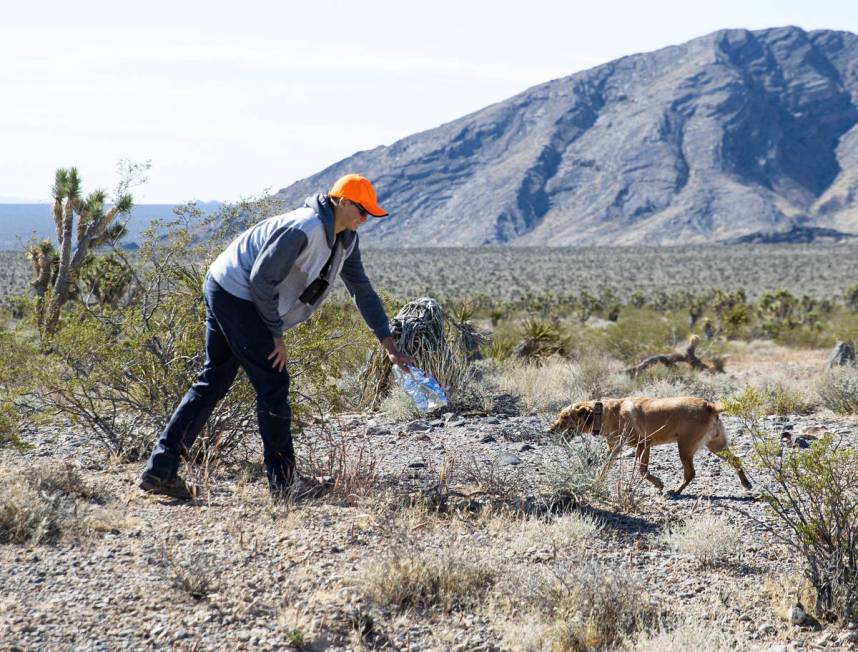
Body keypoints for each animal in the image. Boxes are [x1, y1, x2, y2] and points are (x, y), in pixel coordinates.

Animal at [552, 398, 752, 494]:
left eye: (564, 418)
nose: (550, 429)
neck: (606, 413)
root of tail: (709, 406)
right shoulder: (615, 449)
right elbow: (604, 468)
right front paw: (596, 482)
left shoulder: (644, 444)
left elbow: (642, 470)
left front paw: (658, 483)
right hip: (715, 446)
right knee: (736, 459)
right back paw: (746, 482)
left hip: (685, 448)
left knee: (690, 473)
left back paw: (676, 490)